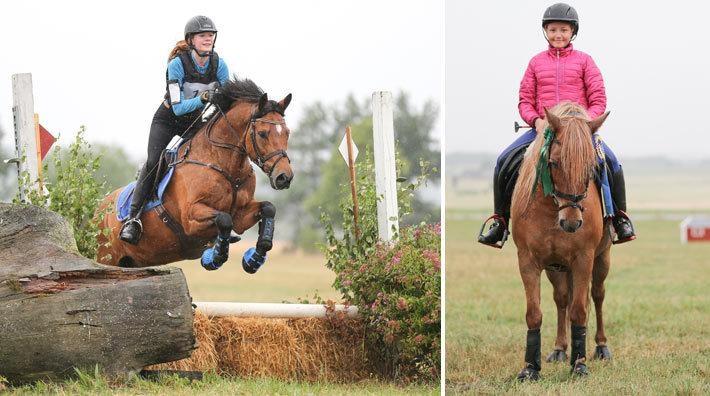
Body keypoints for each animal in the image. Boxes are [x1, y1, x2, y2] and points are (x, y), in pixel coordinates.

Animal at [96, 79, 294, 274]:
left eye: (287, 133)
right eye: (262, 134)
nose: (284, 177)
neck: (224, 166)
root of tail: (100, 207)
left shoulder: (241, 215)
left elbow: (268, 208)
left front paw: (254, 259)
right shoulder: (191, 217)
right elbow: (224, 219)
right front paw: (214, 257)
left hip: (130, 261)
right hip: (105, 257)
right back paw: (130, 228)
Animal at [512, 102, 616, 380]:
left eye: (591, 166)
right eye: (555, 163)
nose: (572, 223)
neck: (553, 210)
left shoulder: (583, 258)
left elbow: (579, 310)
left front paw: (579, 364)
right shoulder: (528, 260)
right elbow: (534, 313)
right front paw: (530, 368)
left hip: (602, 259)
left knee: (598, 295)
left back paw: (601, 347)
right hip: (555, 267)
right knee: (561, 299)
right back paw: (560, 349)